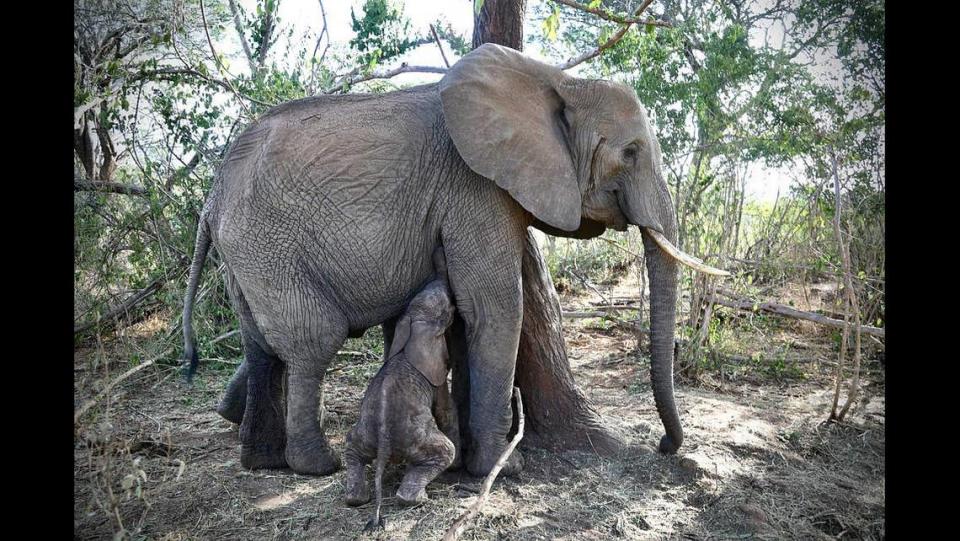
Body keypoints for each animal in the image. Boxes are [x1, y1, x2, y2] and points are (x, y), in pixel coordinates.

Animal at [182, 46, 720, 476]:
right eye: (629, 153)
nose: (664, 445)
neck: (555, 78)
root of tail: (211, 199)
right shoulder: (474, 188)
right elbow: (494, 308)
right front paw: (502, 469)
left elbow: (464, 316)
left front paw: (465, 460)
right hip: (267, 244)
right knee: (313, 340)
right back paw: (316, 466)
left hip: (246, 255)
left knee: (260, 345)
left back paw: (260, 460)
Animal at [344, 248, 462, 528]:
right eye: (449, 310)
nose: (438, 252)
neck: (413, 322)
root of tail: (384, 444)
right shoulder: (435, 376)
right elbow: (445, 409)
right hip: (416, 439)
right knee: (443, 451)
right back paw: (418, 500)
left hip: (364, 434)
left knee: (352, 447)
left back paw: (355, 499)